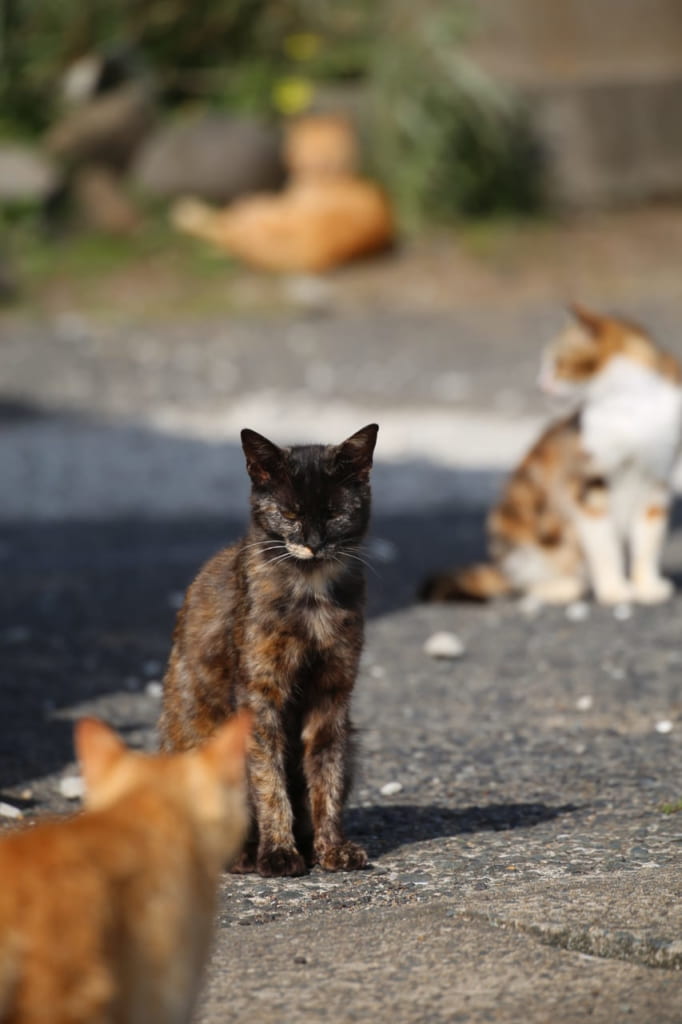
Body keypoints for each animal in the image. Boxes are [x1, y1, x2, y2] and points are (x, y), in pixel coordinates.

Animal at [160, 419, 376, 876]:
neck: (311, 595)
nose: (313, 542)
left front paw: (332, 848)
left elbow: (326, 776)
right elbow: (267, 778)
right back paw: (242, 855)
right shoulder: (261, 695)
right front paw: (278, 851)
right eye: (290, 513)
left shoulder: (332, 695)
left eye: (334, 513)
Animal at [169, 114, 393, 272]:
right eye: (307, 152)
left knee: (222, 227)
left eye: (325, 157)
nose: (312, 168)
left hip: (258, 215)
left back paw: (185, 213)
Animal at [419, 303, 679, 606]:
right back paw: (563, 587)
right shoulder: (586, 486)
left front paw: (647, 587)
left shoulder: (656, 483)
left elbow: (648, 543)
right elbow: (605, 547)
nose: (540, 385)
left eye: (557, 362)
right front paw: (614, 590)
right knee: (526, 582)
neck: (633, 407)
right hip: (519, 518)